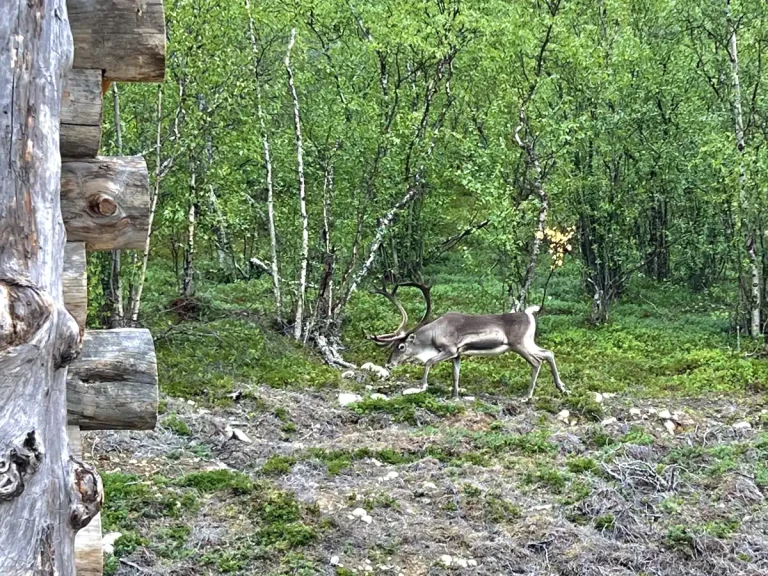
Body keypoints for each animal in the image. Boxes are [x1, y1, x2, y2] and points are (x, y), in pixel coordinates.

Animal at [368, 282, 569, 401]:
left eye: (401, 346)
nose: (389, 364)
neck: (432, 336)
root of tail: (529, 314)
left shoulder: (449, 349)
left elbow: (429, 362)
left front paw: (421, 386)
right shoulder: (457, 354)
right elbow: (456, 374)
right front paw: (455, 396)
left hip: (518, 344)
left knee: (536, 361)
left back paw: (527, 396)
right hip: (528, 342)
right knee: (548, 353)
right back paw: (562, 388)